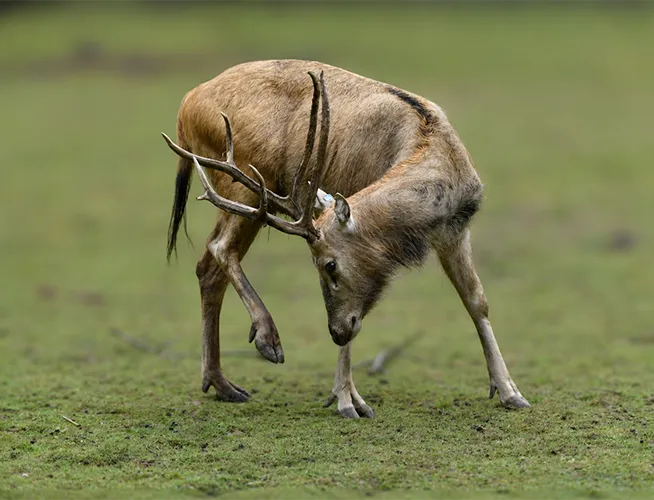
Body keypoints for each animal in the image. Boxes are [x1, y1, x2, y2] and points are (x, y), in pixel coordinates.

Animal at [162, 59, 530, 418]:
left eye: (329, 265)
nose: (334, 332)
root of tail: (185, 106)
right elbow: (359, 323)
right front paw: (347, 401)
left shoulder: (455, 230)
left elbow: (476, 300)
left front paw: (511, 393)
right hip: (245, 184)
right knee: (221, 248)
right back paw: (268, 341)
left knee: (207, 266)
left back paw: (222, 384)